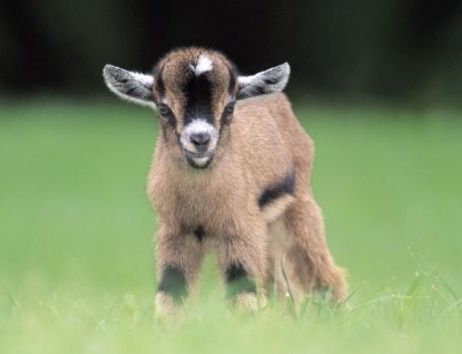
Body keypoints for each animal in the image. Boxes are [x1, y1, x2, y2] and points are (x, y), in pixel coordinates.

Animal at [102, 47, 346, 316]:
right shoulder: (175, 233)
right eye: (163, 108)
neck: (200, 204)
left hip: (297, 209)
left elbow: (243, 289)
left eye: (230, 107)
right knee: (278, 286)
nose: (200, 139)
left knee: (324, 274)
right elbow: (172, 290)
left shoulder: (241, 230)